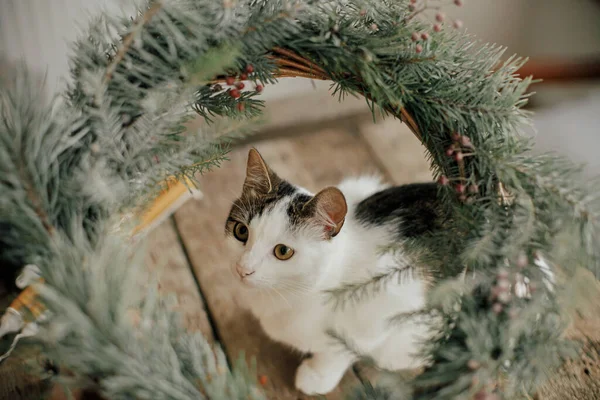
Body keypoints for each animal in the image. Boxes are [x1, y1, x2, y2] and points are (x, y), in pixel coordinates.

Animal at [225, 148, 446, 396]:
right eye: (241, 231)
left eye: (283, 251)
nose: (243, 268)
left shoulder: (391, 291)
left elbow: (343, 348)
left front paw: (317, 375)